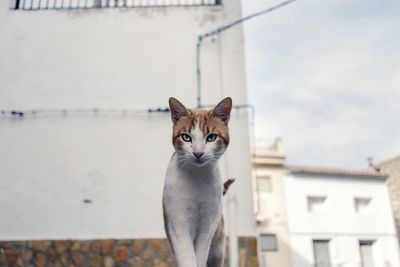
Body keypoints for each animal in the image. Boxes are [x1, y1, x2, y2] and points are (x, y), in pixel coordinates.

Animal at [162, 97, 233, 267]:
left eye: (211, 137)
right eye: (186, 137)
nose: (198, 153)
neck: (197, 176)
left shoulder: (208, 224)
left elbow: (200, 254)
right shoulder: (178, 221)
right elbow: (186, 256)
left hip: (217, 248)